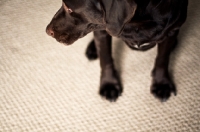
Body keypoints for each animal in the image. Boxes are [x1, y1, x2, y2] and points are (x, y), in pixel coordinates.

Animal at [46, 0, 188, 101]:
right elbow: (105, 59)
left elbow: (162, 59)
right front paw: (109, 84)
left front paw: (161, 83)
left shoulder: (171, 30)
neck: (137, 22)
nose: (47, 31)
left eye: (69, 8)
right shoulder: (103, 30)